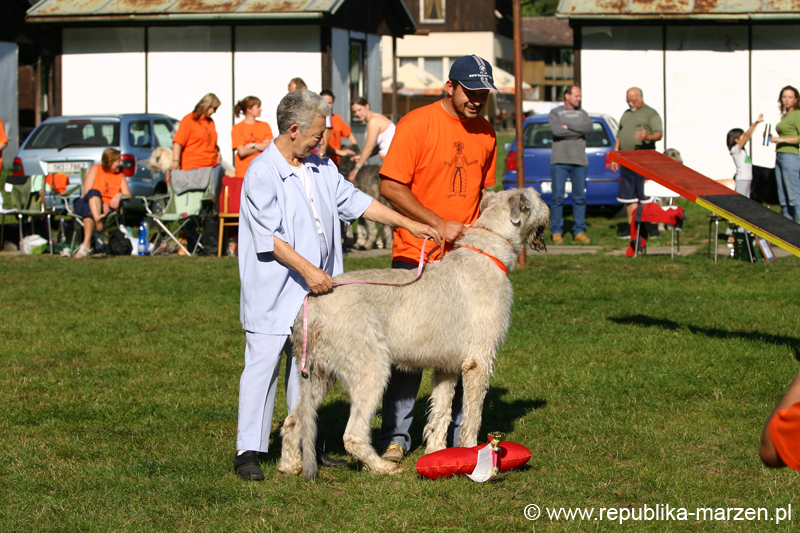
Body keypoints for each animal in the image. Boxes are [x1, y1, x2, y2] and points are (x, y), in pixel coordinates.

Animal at [278, 186, 548, 478]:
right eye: (536, 196)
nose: (548, 210)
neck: (488, 251)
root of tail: (311, 304)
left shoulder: (447, 366)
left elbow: (441, 412)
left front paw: (438, 453)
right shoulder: (478, 360)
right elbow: (472, 415)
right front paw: (476, 455)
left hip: (318, 374)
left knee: (293, 420)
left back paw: (289, 464)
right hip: (369, 367)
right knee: (352, 434)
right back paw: (382, 466)